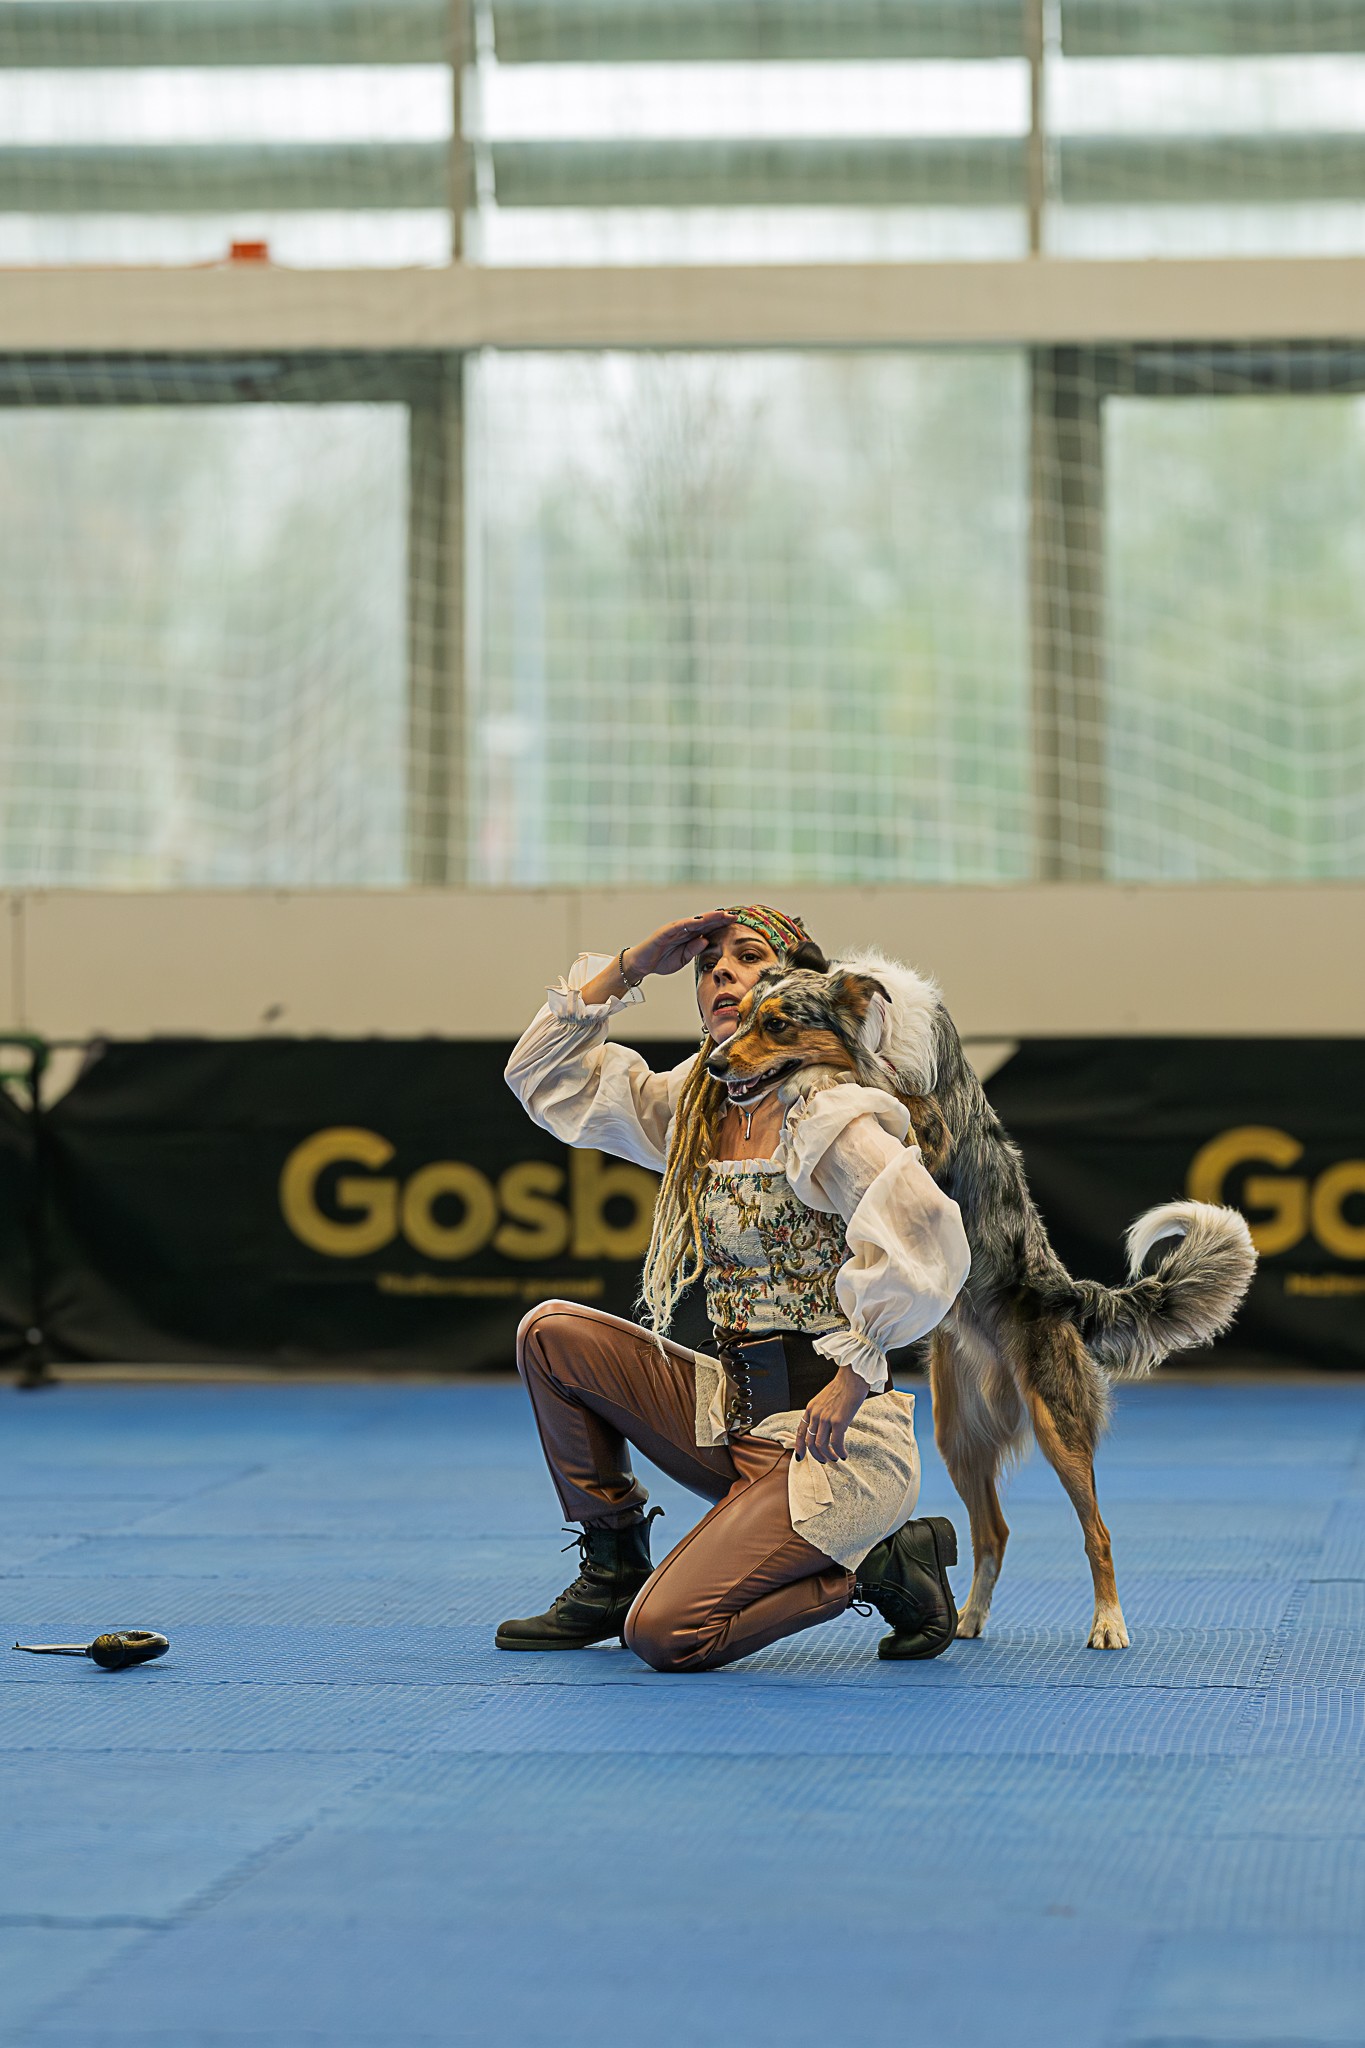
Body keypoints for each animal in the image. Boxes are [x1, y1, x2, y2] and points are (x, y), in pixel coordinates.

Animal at [706, 941, 1256, 1649]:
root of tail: (1067, 1291)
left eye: (776, 1025)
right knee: (992, 1530)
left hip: (1056, 1421)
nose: (714, 1063)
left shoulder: (927, 1128)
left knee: (1098, 1533)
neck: (875, 1037)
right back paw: (965, 1619)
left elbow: (879, 1090)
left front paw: (825, 1084)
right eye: (741, 1016)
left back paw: (1107, 1623)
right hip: (957, 1434)